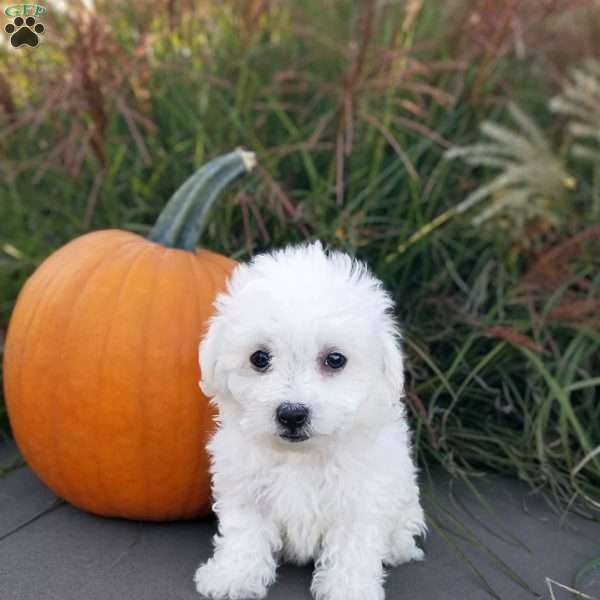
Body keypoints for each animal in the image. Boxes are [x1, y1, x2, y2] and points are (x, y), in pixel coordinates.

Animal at [195, 241, 424, 596]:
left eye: (335, 359)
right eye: (259, 358)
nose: (292, 413)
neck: (301, 456)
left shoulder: (361, 496)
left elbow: (353, 547)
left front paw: (348, 589)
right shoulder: (246, 487)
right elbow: (244, 534)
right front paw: (233, 576)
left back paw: (398, 547)